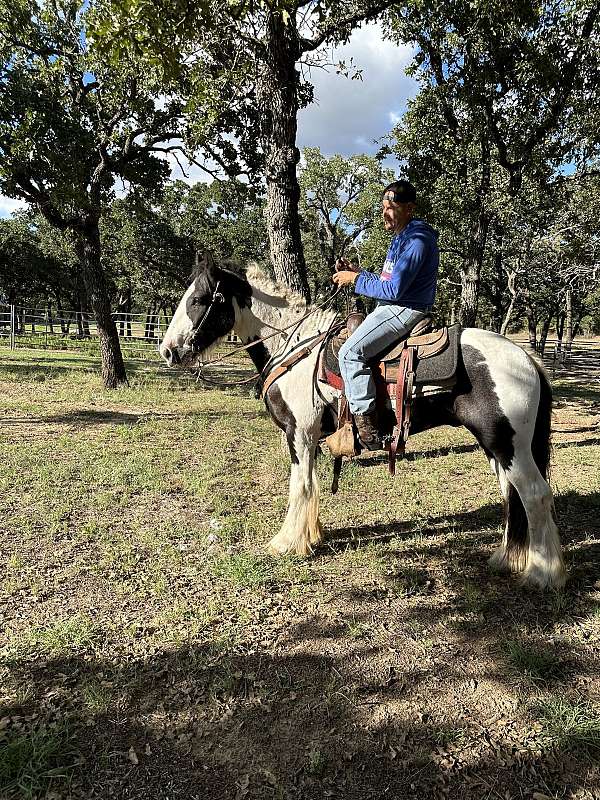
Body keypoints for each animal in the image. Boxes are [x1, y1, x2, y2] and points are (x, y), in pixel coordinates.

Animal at [159, 260, 568, 592]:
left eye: (199, 299)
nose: (168, 350)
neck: (294, 349)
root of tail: (526, 358)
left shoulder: (299, 434)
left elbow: (299, 486)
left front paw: (287, 543)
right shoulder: (309, 438)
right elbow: (311, 485)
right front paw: (311, 536)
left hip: (509, 445)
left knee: (535, 495)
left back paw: (543, 575)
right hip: (496, 445)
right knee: (511, 496)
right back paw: (506, 559)